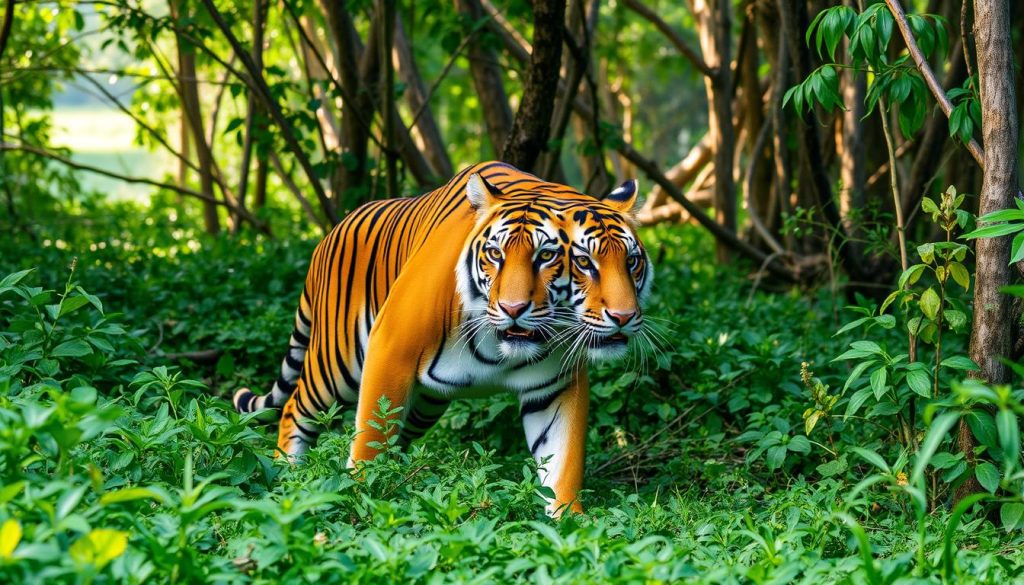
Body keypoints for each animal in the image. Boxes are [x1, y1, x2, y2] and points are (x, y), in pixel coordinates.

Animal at [233, 161, 652, 515]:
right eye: (582, 262)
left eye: (630, 262)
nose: (622, 316)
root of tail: (329, 235)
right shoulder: (390, 350)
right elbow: (370, 438)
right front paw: (360, 499)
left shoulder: (555, 387)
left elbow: (562, 462)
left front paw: (570, 523)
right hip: (337, 366)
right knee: (295, 409)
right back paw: (286, 476)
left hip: (427, 401)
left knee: (399, 436)